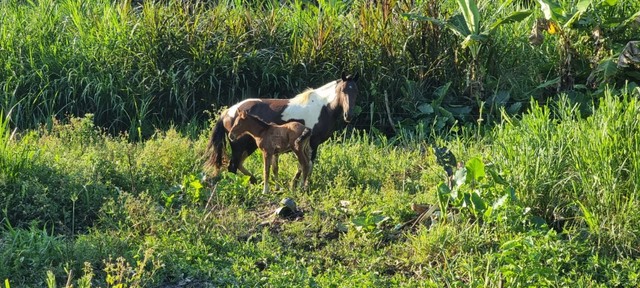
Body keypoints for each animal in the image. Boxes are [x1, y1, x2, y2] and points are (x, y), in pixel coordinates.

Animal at [204, 72, 358, 180]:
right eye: (343, 90)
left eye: (356, 91)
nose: (348, 115)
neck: (323, 107)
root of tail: (228, 112)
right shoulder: (313, 143)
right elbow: (307, 164)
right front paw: (298, 184)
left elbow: (305, 164)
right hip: (239, 145)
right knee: (232, 166)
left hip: (249, 145)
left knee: (239, 164)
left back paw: (255, 180)